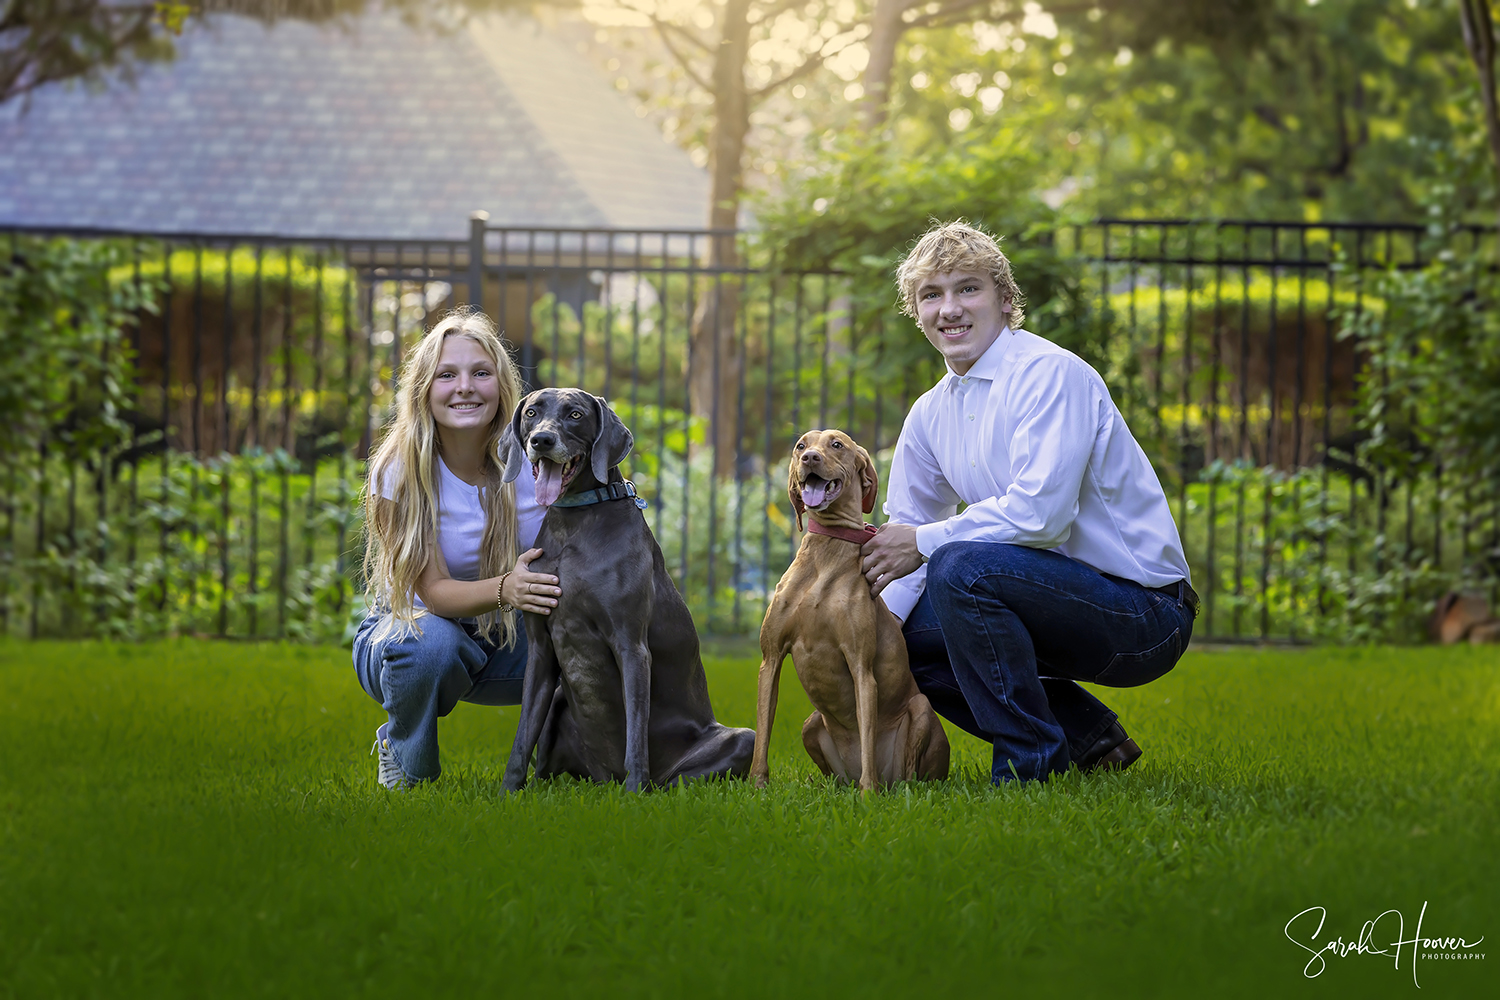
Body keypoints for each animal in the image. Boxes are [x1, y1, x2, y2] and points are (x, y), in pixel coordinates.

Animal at [501, 386, 756, 791]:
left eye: (575, 414)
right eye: (531, 412)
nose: (542, 440)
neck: (573, 523)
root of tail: (604, 779)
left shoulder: (632, 647)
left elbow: (636, 732)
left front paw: (635, 794)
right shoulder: (541, 650)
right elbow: (523, 736)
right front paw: (507, 793)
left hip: (739, 740)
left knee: (684, 777)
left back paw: (649, 789)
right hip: (558, 702)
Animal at [750, 431, 948, 791]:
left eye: (837, 444)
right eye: (801, 445)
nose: (810, 458)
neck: (827, 549)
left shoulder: (861, 668)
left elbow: (867, 735)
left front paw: (868, 796)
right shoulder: (770, 659)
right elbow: (762, 735)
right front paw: (757, 786)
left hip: (921, 711)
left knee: (908, 774)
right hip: (811, 723)